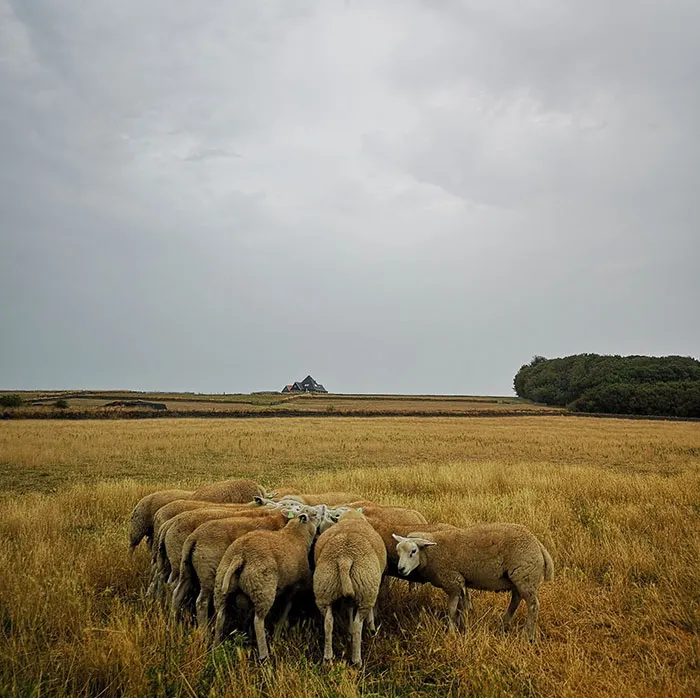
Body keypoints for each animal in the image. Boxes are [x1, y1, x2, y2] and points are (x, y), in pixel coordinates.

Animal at [212, 510, 320, 660]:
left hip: (222, 585)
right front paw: (277, 636)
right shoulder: (292, 589)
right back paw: (265, 656)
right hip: (263, 588)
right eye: (315, 514)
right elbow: (285, 610)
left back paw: (216, 649)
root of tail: (240, 555)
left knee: (220, 616)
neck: (296, 536)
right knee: (258, 621)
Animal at [313, 510, 387, 665]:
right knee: (358, 626)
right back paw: (357, 659)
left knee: (328, 622)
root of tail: (345, 558)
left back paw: (328, 656)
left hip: (324, 591)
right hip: (366, 592)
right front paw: (371, 629)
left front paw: (348, 631)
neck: (351, 518)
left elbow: (348, 609)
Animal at [392, 523, 554, 640]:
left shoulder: (452, 582)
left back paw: (527, 635)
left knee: (533, 606)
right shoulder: (461, 583)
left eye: (413, 551)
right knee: (516, 600)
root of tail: (539, 545)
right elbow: (461, 607)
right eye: (398, 551)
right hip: (519, 578)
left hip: (526, 577)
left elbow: (452, 609)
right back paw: (504, 624)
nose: (401, 569)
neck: (432, 553)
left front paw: (451, 631)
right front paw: (462, 625)